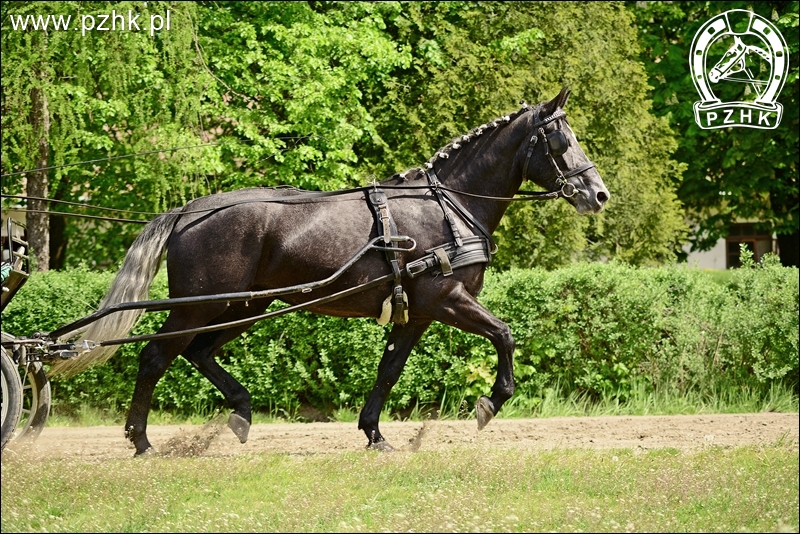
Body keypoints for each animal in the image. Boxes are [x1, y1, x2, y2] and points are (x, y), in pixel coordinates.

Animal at [53, 89, 608, 456]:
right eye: (560, 141)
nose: (597, 194)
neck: (448, 206)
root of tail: (190, 211)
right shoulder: (447, 298)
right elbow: (505, 334)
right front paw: (491, 402)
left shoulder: (415, 315)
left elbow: (388, 372)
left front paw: (375, 434)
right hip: (202, 306)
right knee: (155, 357)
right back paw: (142, 440)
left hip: (245, 306)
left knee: (199, 352)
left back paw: (240, 412)